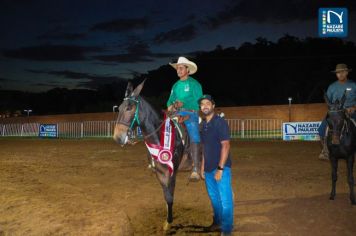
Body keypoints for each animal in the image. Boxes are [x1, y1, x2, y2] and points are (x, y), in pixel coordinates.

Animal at [112, 79, 193, 230]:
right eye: (119, 108)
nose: (118, 137)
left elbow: (170, 197)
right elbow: (166, 196)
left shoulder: (171, 172)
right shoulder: (159, 172)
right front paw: (167, 220)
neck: (160, 137)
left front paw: (169, 223)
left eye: (129, 108)